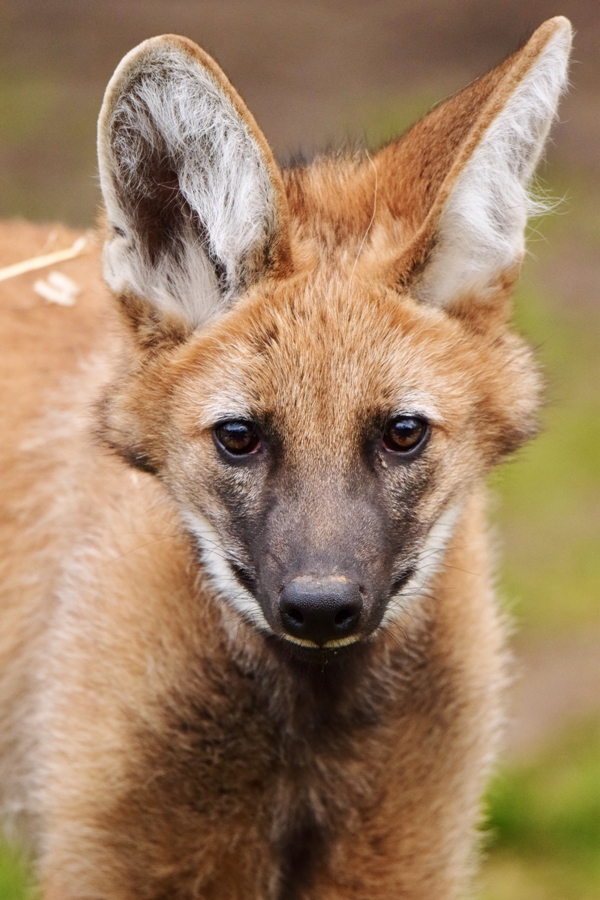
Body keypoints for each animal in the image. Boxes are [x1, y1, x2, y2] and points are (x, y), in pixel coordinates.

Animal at [0, 16, 571, 899]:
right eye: (240, 436)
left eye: (402, 432)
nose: (321, 607)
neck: (308, 731)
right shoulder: (117, 859)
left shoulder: (403, 858)